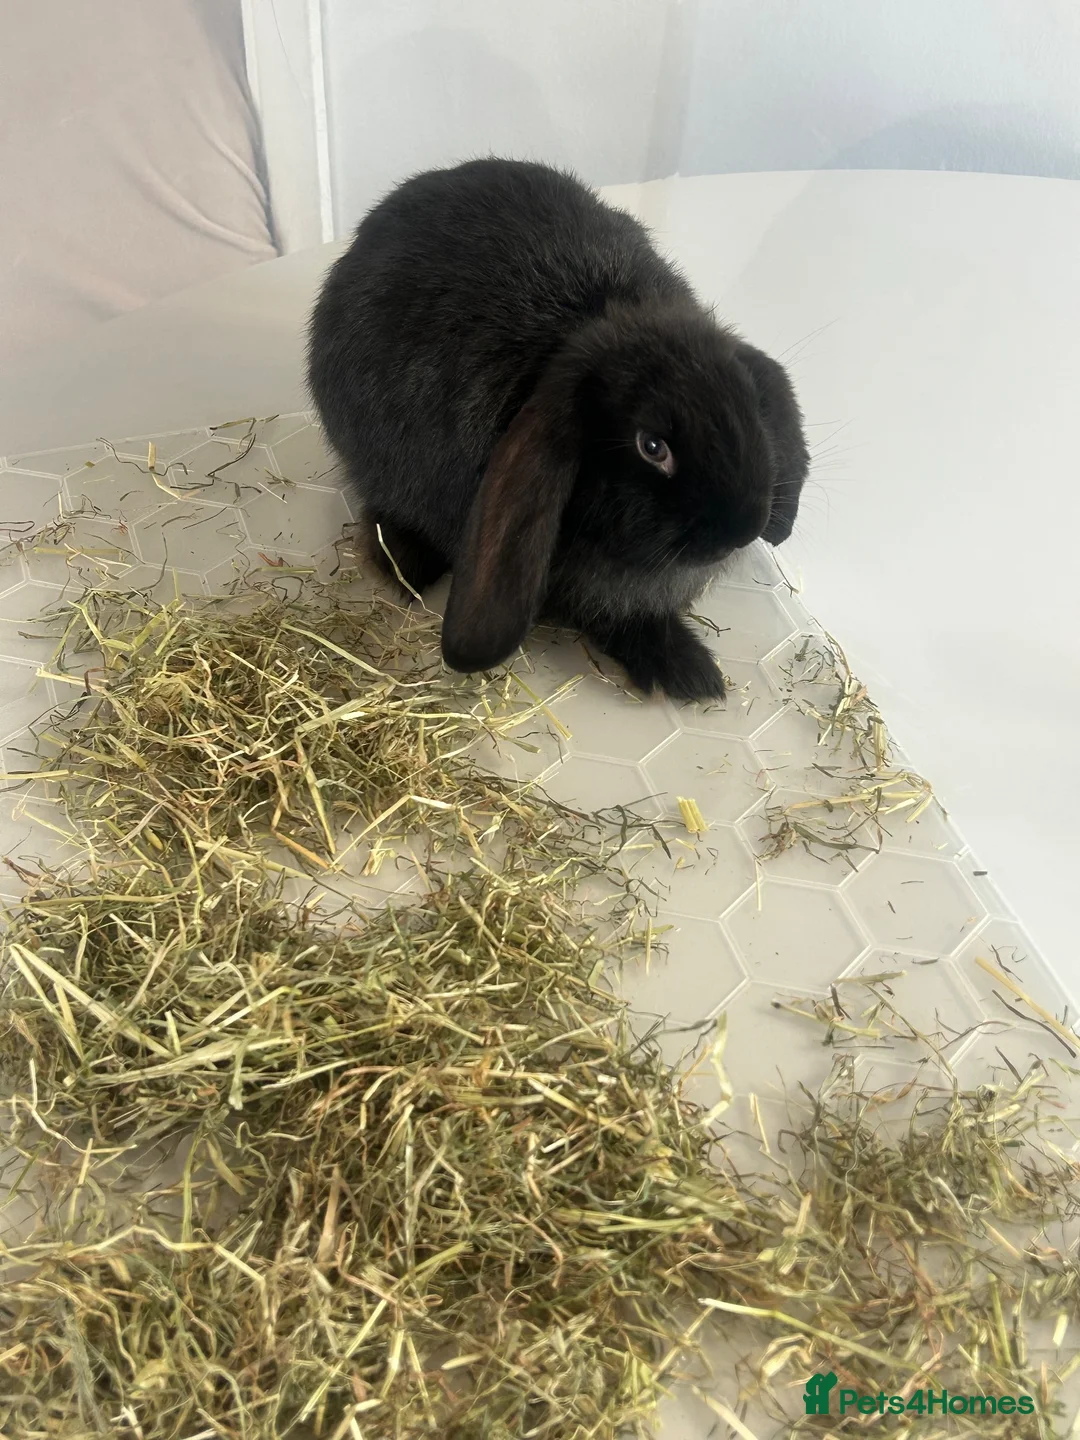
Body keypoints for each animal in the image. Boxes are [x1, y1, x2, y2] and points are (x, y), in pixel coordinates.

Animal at [308, 158, 809, 702]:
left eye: (752, 408)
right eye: (652, 446)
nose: (743, 531)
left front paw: (690, 671)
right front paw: (685, 669)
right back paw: (405, 564)